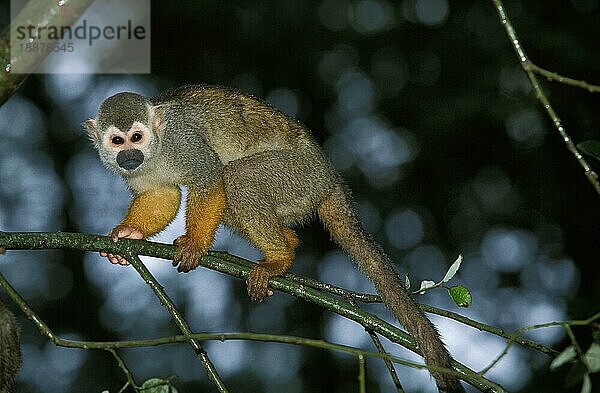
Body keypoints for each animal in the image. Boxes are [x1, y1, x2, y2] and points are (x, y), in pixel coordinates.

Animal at [85, 84, 464, 390]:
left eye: (136, 137)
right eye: (117, 141)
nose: (128, 155)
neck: (157, 151)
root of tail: (330, 177)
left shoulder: (185, 144)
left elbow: (211, 179)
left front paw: (195, 244)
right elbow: (160, 195)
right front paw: (129, 232)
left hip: (298, 174)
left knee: (237, 178)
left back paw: (279, 257)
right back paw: (288, 245)